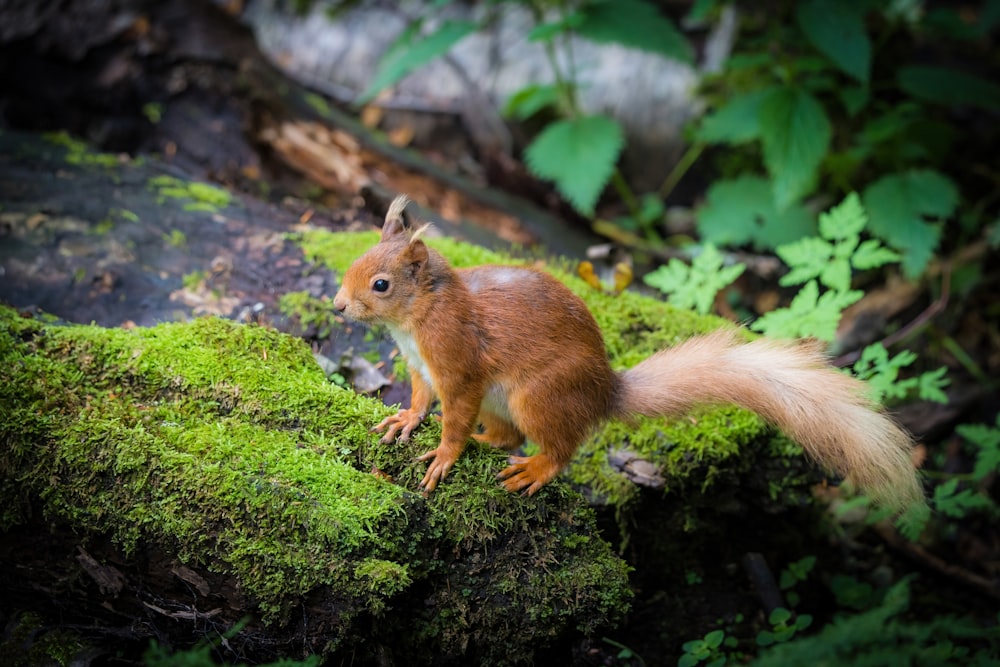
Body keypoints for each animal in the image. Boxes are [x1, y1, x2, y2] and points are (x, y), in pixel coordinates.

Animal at [332, 196, 924, 516]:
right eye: (356, 259)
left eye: (381, 284)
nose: (337, 306)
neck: (417, 321)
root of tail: (603, 392)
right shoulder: (419, 367)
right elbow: (420, 399)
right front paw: (406, 421)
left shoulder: (458, 366)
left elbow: (453, 415)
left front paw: (443, 455)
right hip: (508, 404)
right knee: (505, 437)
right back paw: (491, 443)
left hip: (536, 395)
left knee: (557, 448)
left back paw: (534, 469)